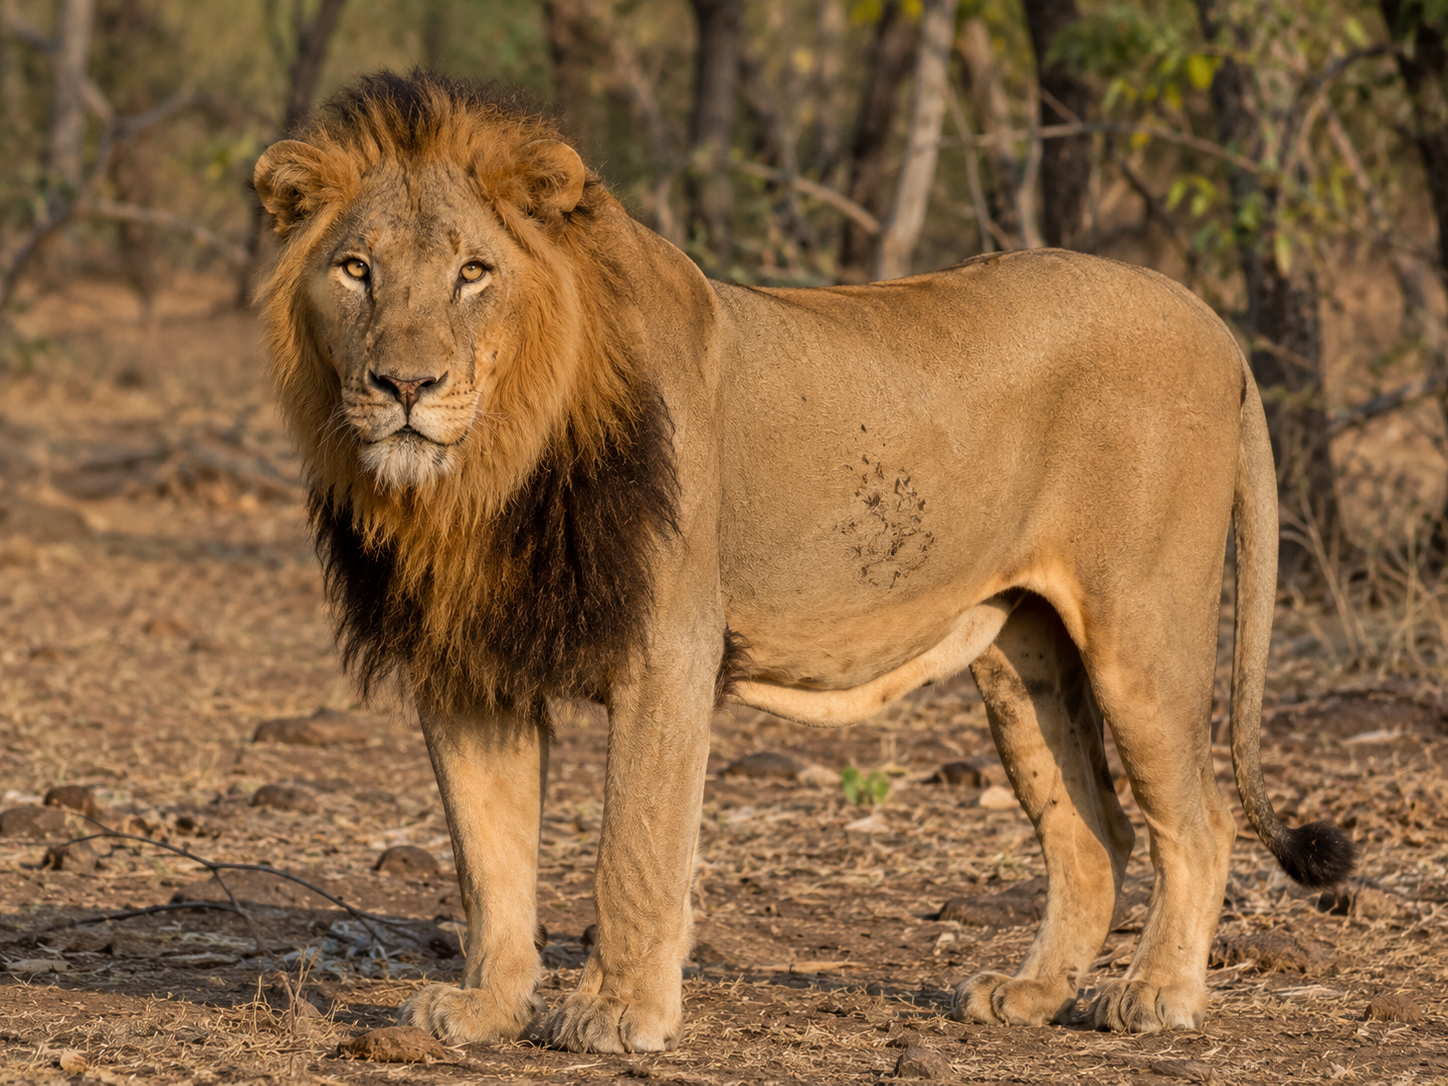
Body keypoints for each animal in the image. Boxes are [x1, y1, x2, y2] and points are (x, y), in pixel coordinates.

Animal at [253, 72, 1354, 1053]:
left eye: (473, 272)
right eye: (356, 269)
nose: (404, 384)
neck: (485, 477)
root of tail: (1215, 325)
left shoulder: (668, 647)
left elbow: (633, 848)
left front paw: (618, 1014)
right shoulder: (467, 666)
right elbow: (488, 861)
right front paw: (486, 1008)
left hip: (1141, 630)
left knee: (1201, 822)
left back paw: (1155, 997)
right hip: (1025, 660)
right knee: (1093, 834)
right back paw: (1031, 994)